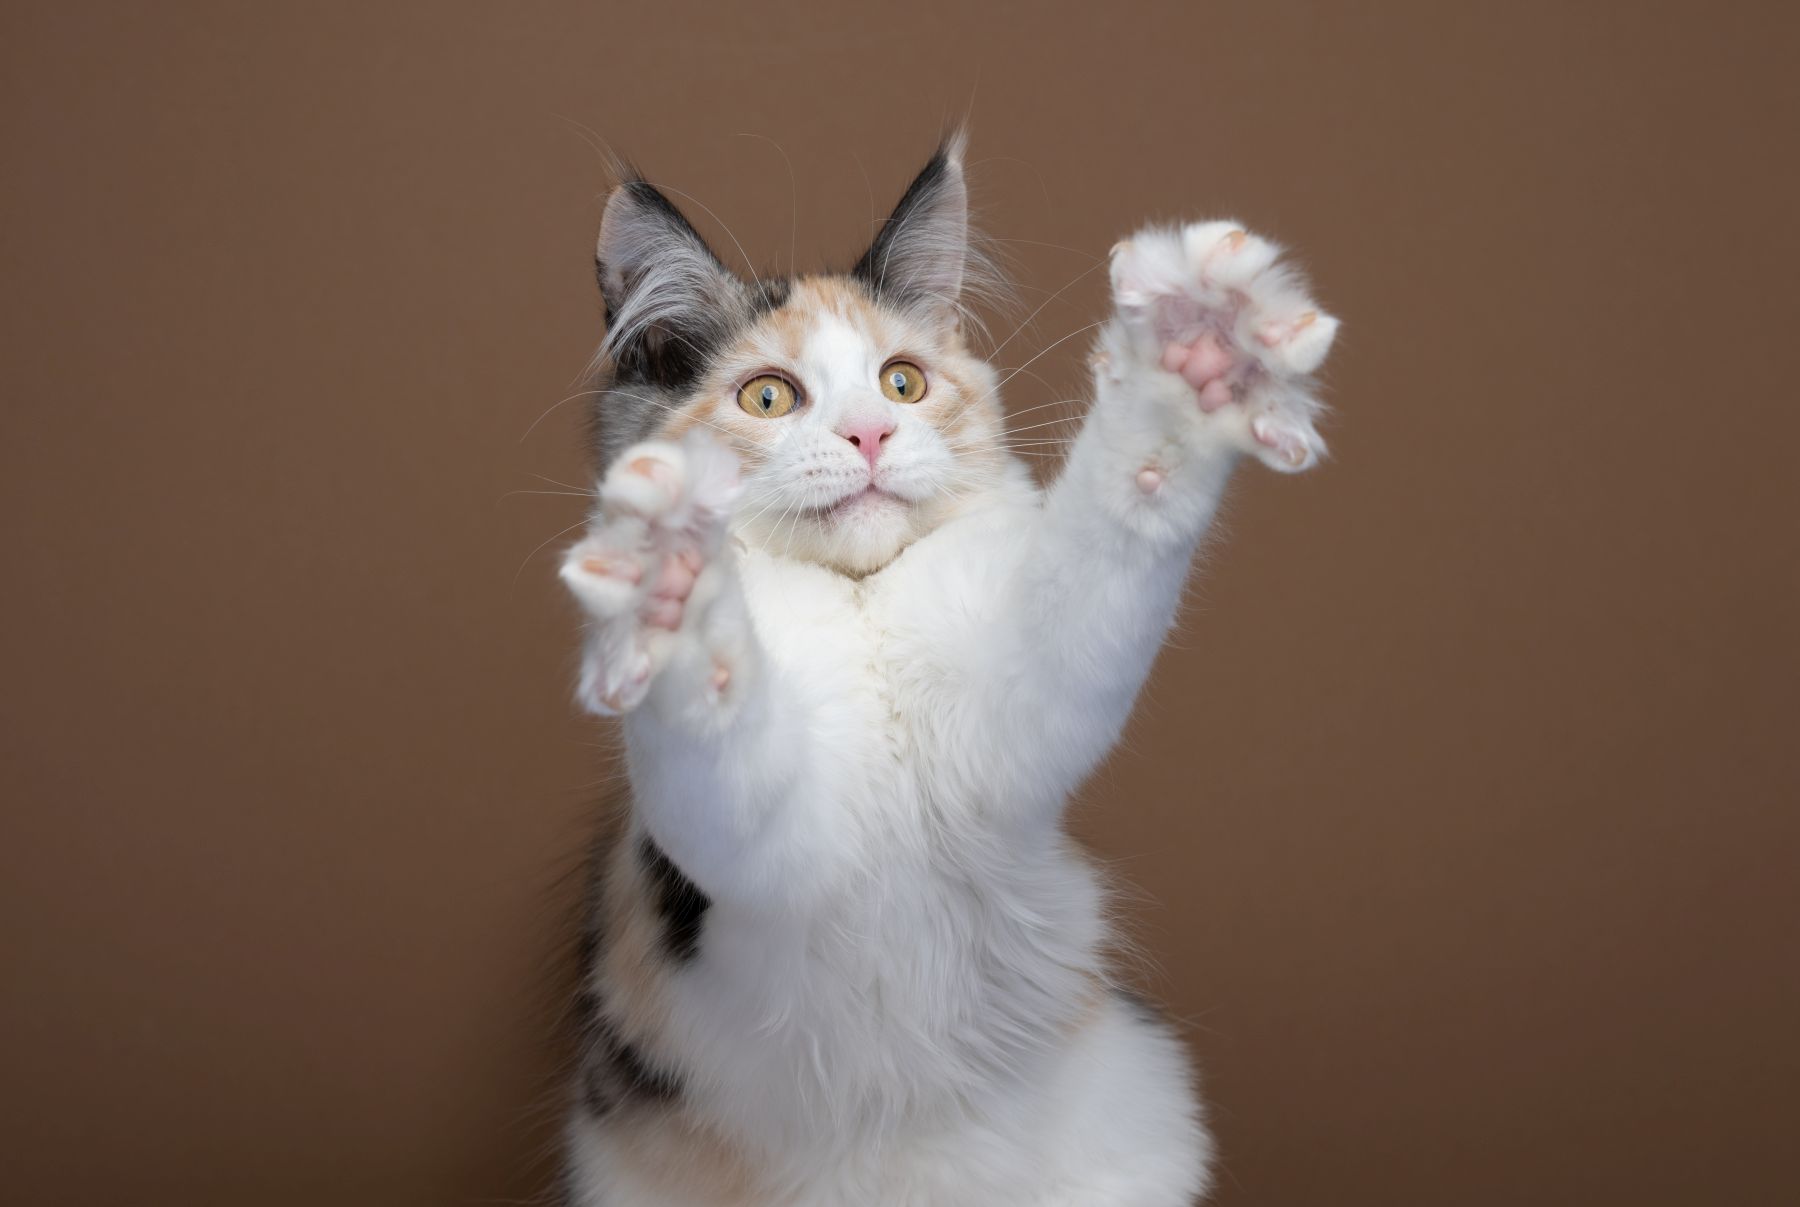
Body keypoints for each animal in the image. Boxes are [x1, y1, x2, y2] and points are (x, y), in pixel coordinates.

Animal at [558, 127, 1339, 1201]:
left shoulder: (1011, 721)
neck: (862, 608)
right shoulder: (751, 858)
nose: (871, 434)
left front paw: (1196, 351)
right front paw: (671, 577)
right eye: (769, 396)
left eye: (903, 382)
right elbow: (719, 733)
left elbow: (1106, 539)